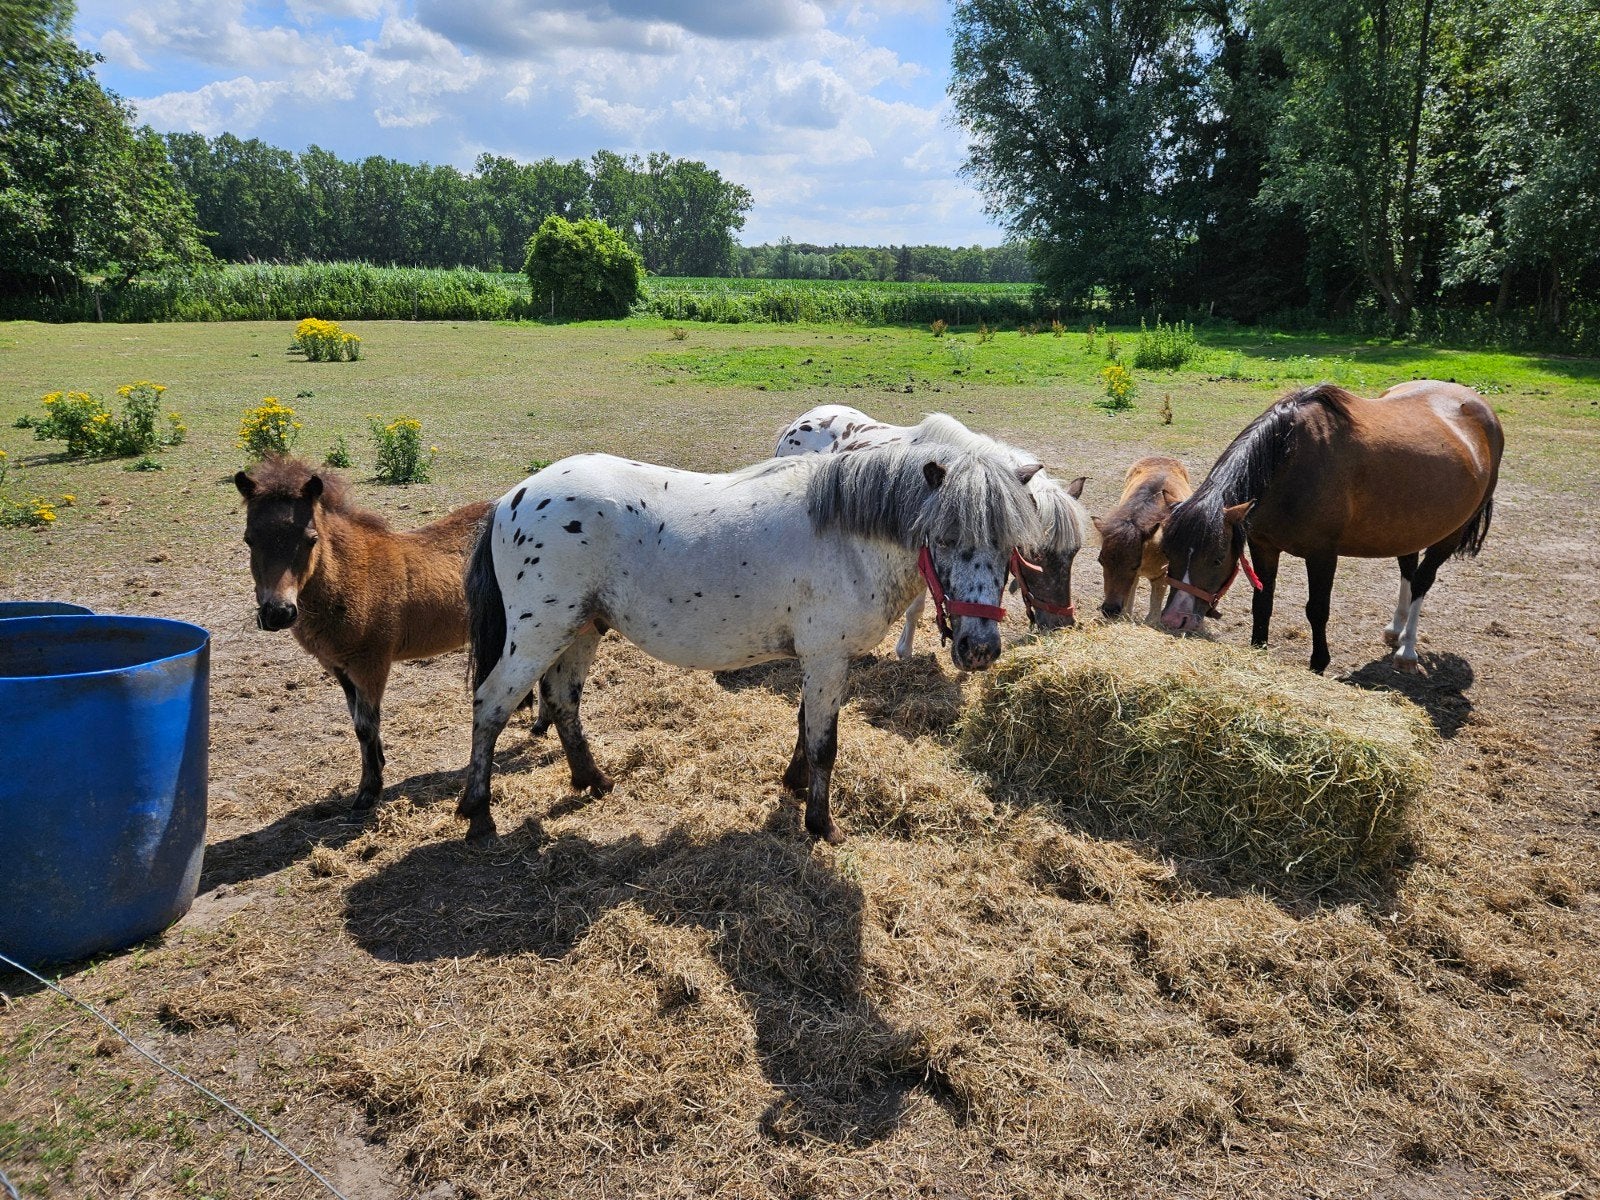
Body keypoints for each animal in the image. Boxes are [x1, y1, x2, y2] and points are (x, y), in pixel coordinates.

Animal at [235, 456, 491, 810]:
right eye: (249, 539)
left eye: (311, 539)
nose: (278, 613)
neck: (352, 574)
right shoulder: (338, 667)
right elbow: (359, 721)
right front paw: (377, 768)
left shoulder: (371, 665)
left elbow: (365, 726)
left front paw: (368, 791)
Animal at [458, 442, 1043, 845]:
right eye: (945, 537)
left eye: (1009, 543)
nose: (980, 649)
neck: (847, 540)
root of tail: (511, 499)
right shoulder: (828, 658)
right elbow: (824, 743)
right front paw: (821, 824)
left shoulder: (820, 661)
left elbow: (806, 727)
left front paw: (794, 784)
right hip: (538, 635)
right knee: (491, 706)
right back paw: (479, 813)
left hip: (581, 630)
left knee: (563, 702)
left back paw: (593, 781)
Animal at [774, 404, 1090, 657]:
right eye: (1033, 554)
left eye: (1074, 553)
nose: (1061, 624)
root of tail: (801, 420)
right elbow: (916, 608)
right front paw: (904, 650)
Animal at [1093, 456, 1192, 625]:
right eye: (1101, 561)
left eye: (1134, 565)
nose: (1110, 610)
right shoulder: (1135, 578)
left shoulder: (1161, 576)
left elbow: (1152, 616)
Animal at [1159, 381, 1503, 674]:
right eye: (1168, 552)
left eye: (1217, 558)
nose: (1175, 619)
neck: (1290, 461)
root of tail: (1479, 406)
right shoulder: (1263, 545)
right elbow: (1263, 602)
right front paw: (1258, 647)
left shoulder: (1322, 555)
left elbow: (1317, 609)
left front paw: (1318, 662)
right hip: (1408, 529)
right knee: (1408, 569)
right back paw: (1395, 630)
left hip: (1449, 535)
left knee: (1421, 582)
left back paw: (1407, 650)